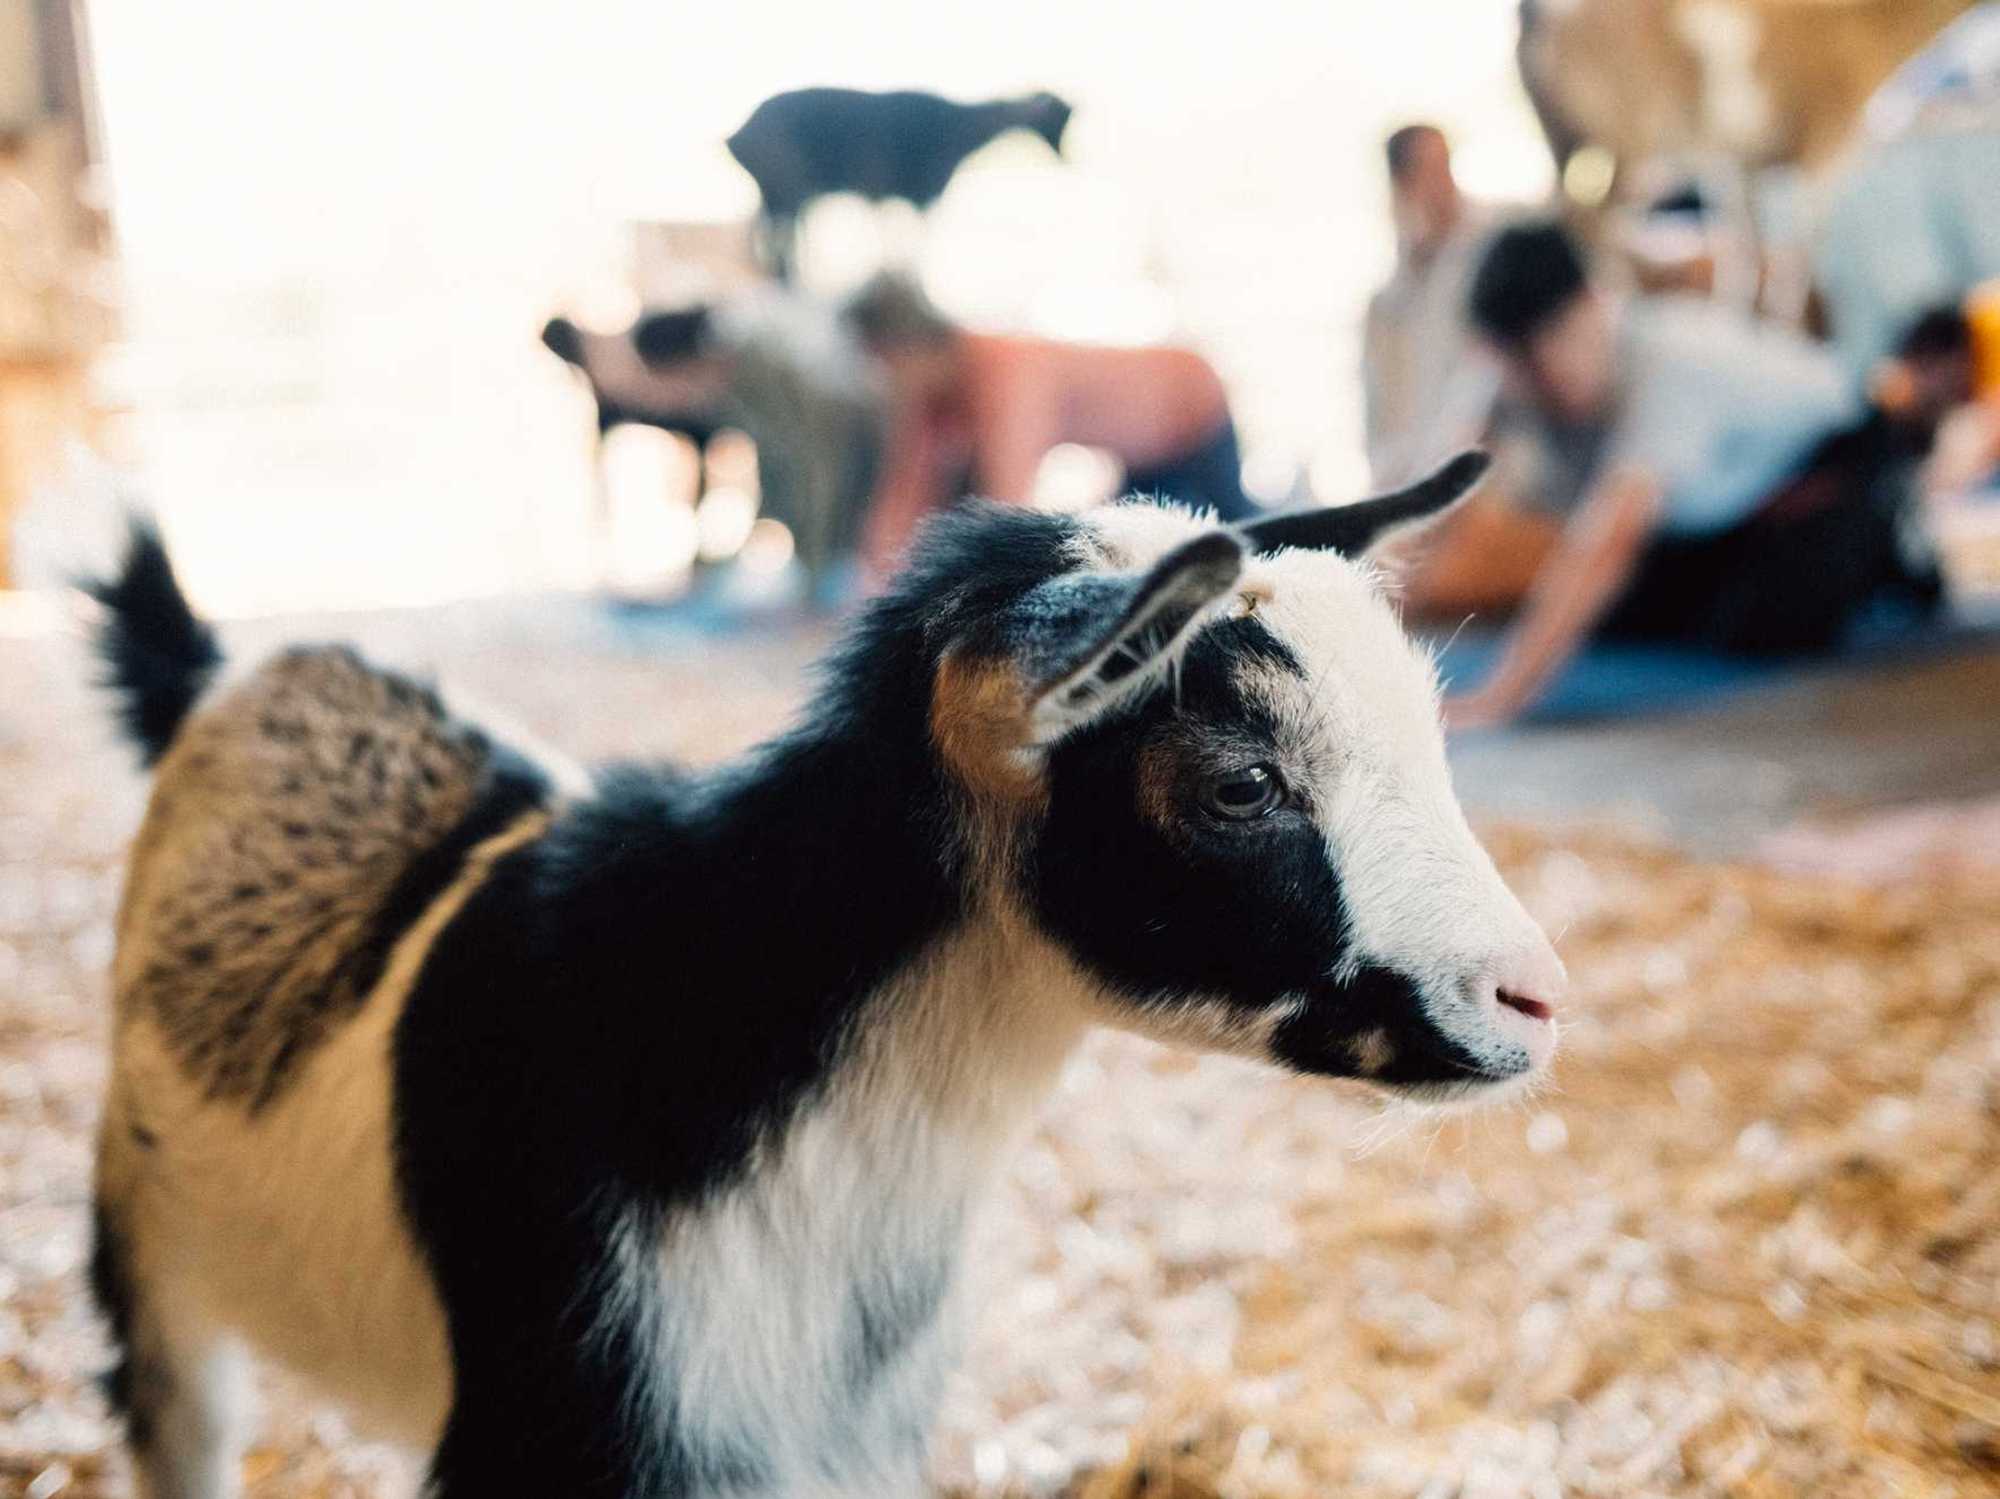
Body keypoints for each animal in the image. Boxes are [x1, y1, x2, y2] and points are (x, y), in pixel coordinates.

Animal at [725, 88, 1072, 279]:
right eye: (1057, 122)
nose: (1067, 159)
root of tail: (737, 133)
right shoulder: (919, 193)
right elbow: (912, 246)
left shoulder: (895, 195)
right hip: (789, 189)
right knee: (781, 239)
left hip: (776, 194)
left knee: (767, 234)